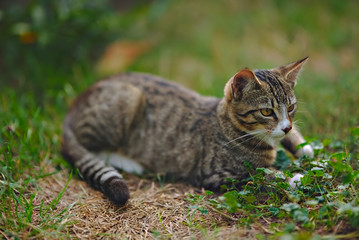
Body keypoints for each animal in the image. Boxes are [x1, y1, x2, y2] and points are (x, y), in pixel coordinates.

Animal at [60, 57, 314, 205]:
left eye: (291, 107)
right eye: (266, 112)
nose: (286, 126)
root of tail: (73, 107)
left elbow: (295, 144)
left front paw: (306, 150)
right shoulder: (216, 174)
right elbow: (262, 175)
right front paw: (295, 177)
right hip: (129, 98)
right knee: (84, 148)